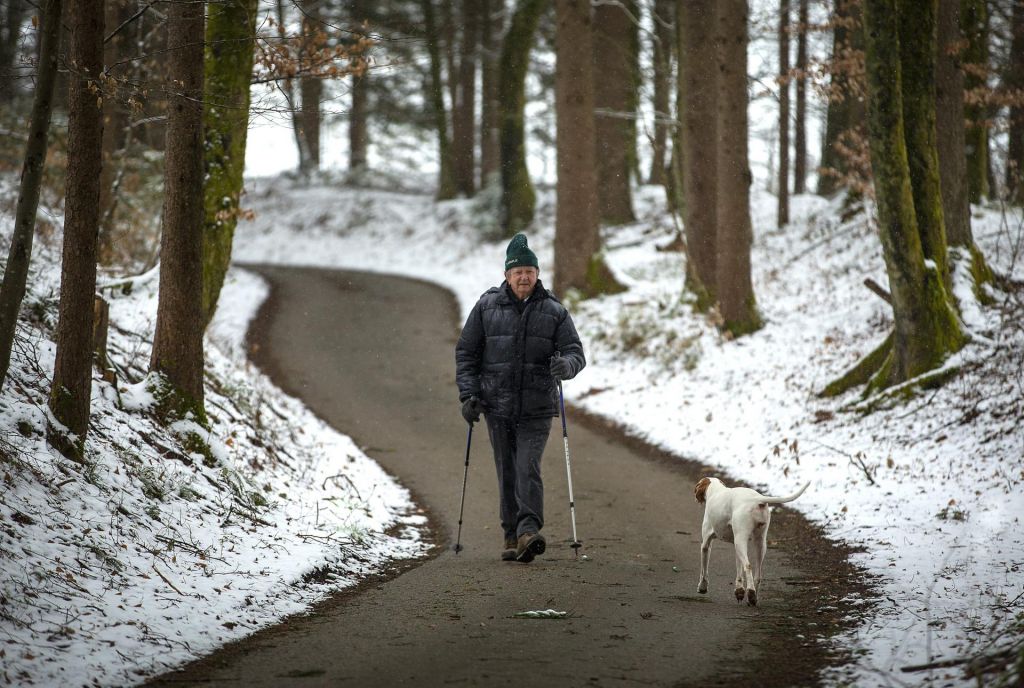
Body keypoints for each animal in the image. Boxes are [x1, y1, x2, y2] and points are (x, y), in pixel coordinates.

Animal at [696, 475, 806, 606]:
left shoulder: (706, 544)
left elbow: (703, 571)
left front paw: (702, 587)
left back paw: (752, 593)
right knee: (757, 575)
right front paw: (739, 590)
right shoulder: (736, 545)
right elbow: (739, 571)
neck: (716, 490)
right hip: (758, 543)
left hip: (741, 540)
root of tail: (756, 499)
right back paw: (752, 597)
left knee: (748, 566)